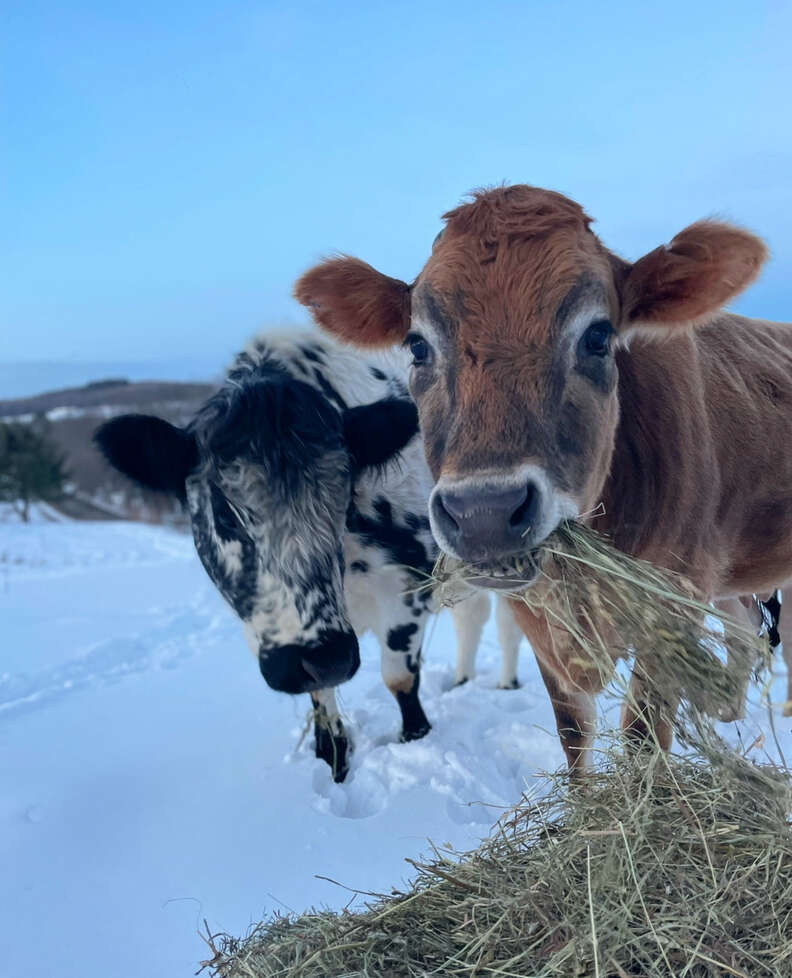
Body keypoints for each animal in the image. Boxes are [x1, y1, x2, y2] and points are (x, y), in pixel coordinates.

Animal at [94, 332, 520, 780]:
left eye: (342, 495)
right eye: (225, 513)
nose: (326, 657)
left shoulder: (406, 585)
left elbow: (399, 678)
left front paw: (415, 737)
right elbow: (321, 700)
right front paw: (333, 760)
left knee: (509, 627)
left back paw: (506, 683)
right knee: (471, 618)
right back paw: (462, 680)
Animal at [296, 187, 792, 772]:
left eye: (599, 335)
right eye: (417, 345)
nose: (483, 515)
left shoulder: (673, 602)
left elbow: (642, 736)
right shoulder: (538, 618)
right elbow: (573, 731)